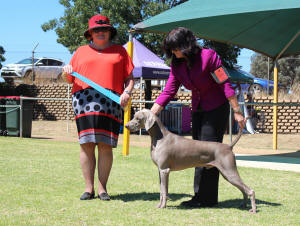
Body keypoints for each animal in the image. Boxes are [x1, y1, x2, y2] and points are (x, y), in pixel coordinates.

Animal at [125, 108, 255, 213]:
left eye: (138, 118)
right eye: (133, 116)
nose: (126, 125)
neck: (160, 137)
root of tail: (228, 146)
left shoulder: (164, 170)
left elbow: (164, 191)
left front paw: (162, 206)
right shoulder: (162, 170)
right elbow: (163, 190)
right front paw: (160, 205)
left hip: (229, 171)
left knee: (250, 190)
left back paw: (253, 210)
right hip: (227, 173)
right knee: (244, 190)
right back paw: (243, 205)